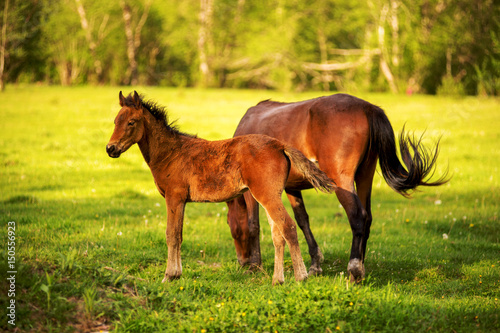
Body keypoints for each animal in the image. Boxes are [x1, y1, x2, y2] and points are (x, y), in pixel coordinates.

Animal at [104, 92, 336, 284]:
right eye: (115, 121)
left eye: (131, 122)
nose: (110, 149)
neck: (171, 153)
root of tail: (279, 145)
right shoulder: (181, 200)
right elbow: (179, 234)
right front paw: (177, 274)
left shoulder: (174, 196)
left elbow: (172, 234)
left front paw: (169, 276)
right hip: (270, 195)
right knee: (277, 234)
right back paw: (277, 280)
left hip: (266, 195)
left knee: (288, 227)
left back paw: (301, 276)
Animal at [227, 92, 450, 280]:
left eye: (230, 225)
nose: (241, 261)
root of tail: (367, 108)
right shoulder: (292, 187)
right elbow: (302, 220)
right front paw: (315, 263)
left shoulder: (254, 191)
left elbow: (253, 224)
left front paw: (255, 265)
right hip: (364, 176)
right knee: (367, 218)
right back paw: (361, 265)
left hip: (342, 181)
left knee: (358, 216)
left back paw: (355, 269)